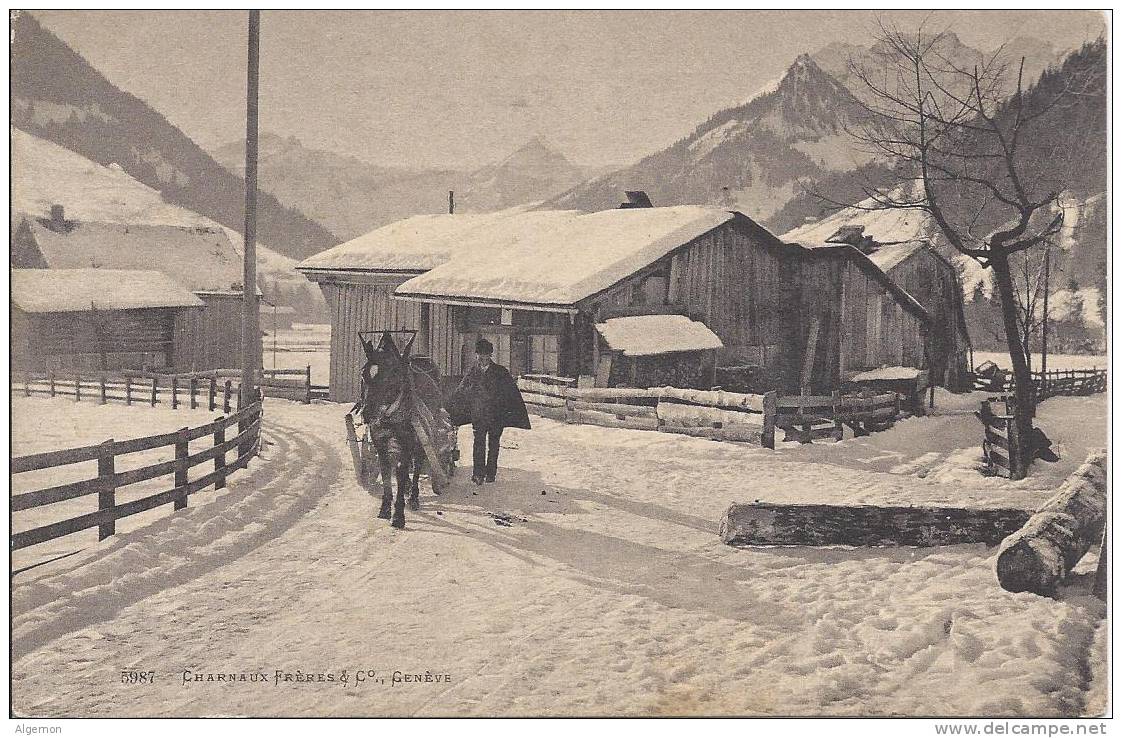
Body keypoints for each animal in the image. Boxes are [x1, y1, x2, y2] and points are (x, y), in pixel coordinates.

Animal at [347, 329, 457, 524]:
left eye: (391, 376)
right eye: (363, 374)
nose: (368, 413)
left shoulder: (408, 442)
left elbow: (401, 471)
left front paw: (398, 515)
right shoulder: (380, 443)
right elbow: (386, 472)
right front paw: (385, 508)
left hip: (423, 436)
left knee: (418, 463)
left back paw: (413, 496)